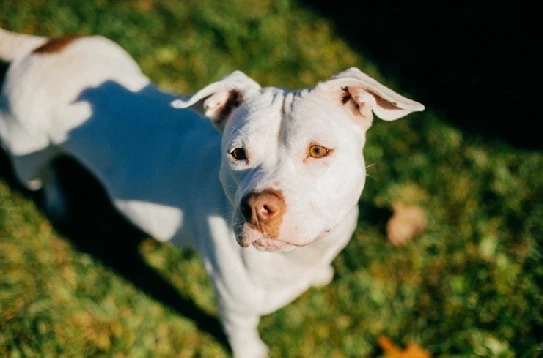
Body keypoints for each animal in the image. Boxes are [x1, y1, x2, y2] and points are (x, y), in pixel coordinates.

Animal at [0, 28, 424, 356]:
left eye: (318, 151)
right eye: (237, 154)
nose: (257, 207)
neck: (295, 257)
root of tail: (36, 48)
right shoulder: (235, 306)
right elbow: (243, 336)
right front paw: (253, 352)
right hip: (25, 156)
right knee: (44, 174)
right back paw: (57, 203)